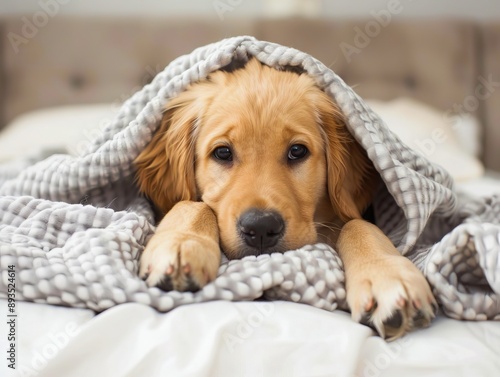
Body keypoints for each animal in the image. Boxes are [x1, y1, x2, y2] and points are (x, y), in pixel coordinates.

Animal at [135, 58, 436, 338]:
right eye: (222, 153)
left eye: (297, 151)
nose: (260, 228)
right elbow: (193, 204)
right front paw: (182, 244)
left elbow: (356, 223)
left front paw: (385, 274)